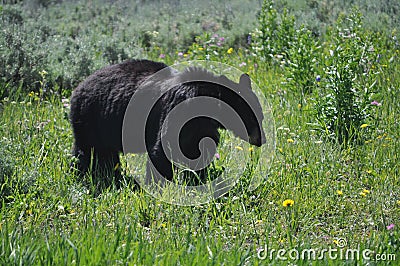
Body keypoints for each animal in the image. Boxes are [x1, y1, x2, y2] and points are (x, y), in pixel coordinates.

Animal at [71, 60, 266, 188]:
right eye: (251, 118)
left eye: (261, 116)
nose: (261, 140)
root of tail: (78, 87)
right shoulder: (178, 112)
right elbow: (162, 150)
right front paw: (159, 185)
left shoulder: (202, 128)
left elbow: (200, 150)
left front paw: (198, 179)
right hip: (91, 117)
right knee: (87, 151)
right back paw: (84, 174)